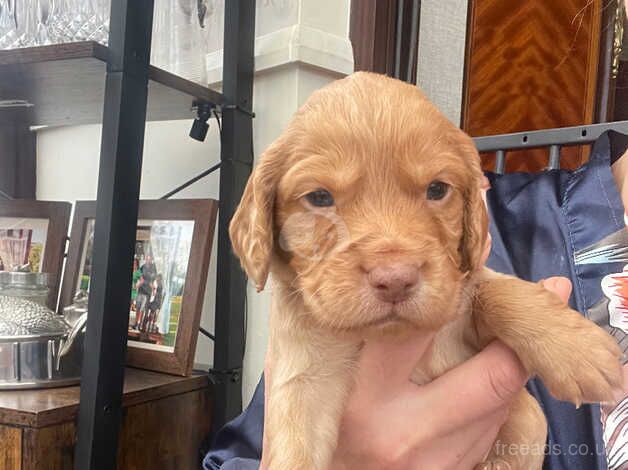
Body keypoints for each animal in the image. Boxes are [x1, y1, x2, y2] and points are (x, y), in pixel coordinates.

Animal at [227, 71, 624, 468]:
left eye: (437, 189)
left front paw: (577, 350)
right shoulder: (304, 379)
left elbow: (493, 291)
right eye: (319, 197)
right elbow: (294, 452)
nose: (395, 280)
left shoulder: (462, 307)